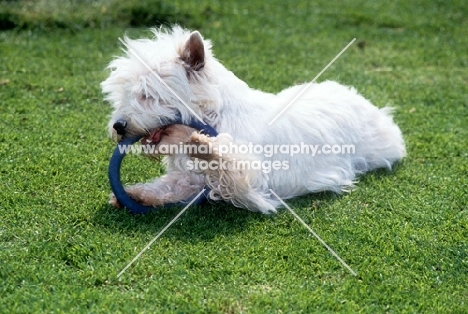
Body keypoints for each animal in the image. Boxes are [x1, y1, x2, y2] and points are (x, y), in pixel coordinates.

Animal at [102, 26, 406, 213]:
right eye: (124, 93)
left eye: (148, 95)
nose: (119, 126)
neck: (217, 115)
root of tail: (356, 96)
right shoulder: (188, 179)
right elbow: (168, 185)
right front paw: (136, 194)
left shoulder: (254, 185)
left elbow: (231, 168)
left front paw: (207, 148)